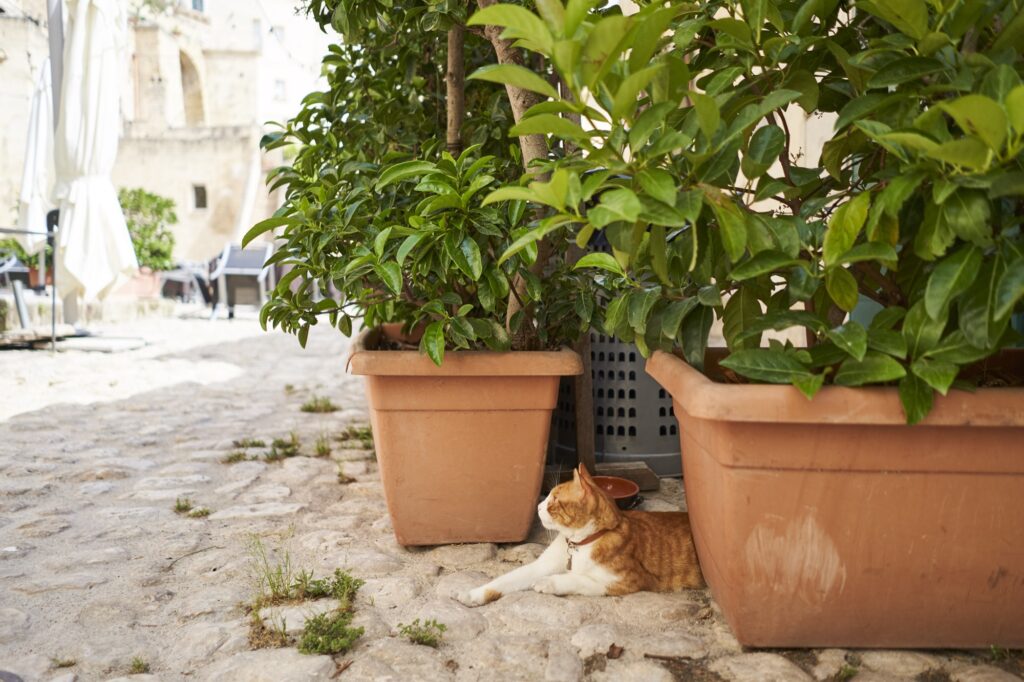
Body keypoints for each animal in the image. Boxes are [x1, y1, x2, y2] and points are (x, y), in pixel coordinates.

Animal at [458, 458, 704, 602]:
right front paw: (473, 594)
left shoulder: (625, 580)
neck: (578, 544)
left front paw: (549, 583)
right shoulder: (541, 565)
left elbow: (577, 578)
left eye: (553, 500)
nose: (538, 507)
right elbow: (505, 579)